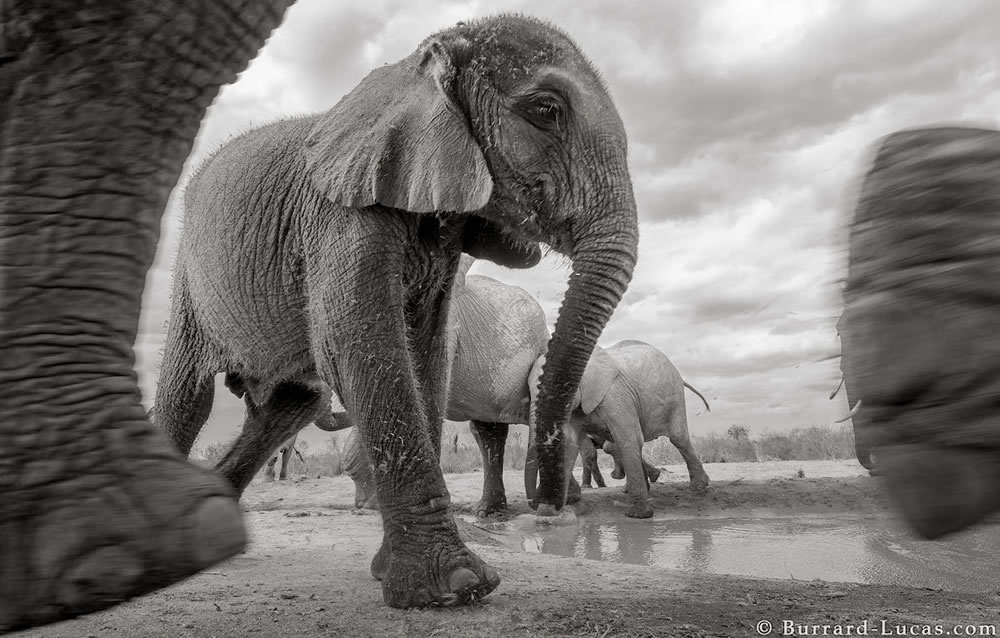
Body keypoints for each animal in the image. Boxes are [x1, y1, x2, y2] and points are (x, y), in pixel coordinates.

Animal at [528, 340, 716, 520]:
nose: (534, 504)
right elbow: (569, 446)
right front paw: (548, 513)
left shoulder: (615, 395)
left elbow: (628, 439)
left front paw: (638, 515)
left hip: (674, 395)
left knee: (678, 438)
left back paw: (698, 486)